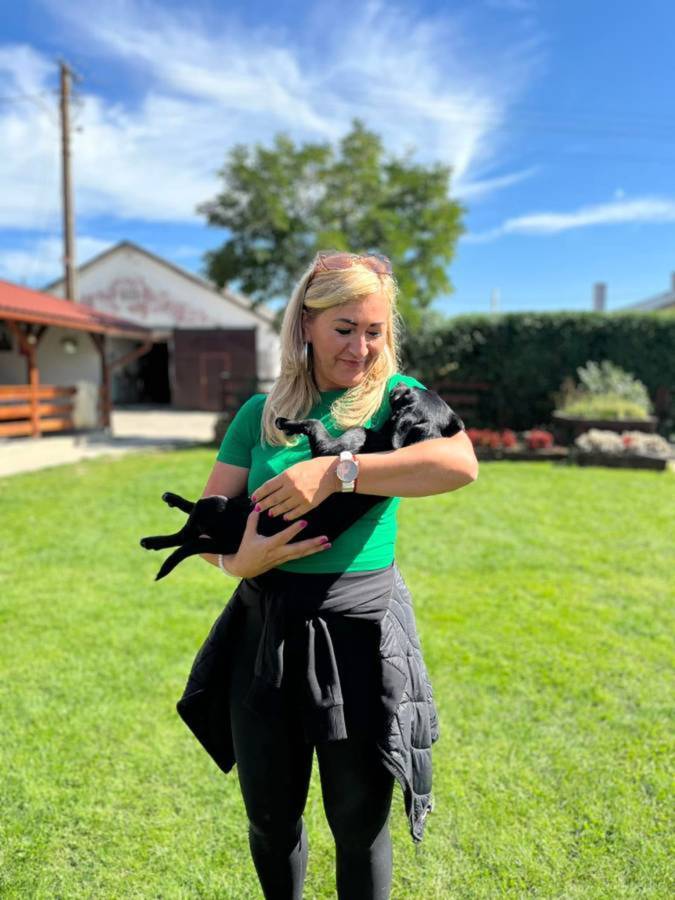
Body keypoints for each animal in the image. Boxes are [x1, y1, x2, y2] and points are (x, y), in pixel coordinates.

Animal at [140, 384, 464, 581]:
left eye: (408, 393)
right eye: (418, 389)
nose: (397, 385)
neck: (391, 440)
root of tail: (227, 541)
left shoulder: (328, 451)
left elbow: (314, 423)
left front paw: (286, 422)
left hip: (214, 507)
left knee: (185, 534)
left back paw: (153, 539)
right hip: (223, 508)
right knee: (191, 526)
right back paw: (172, 502)